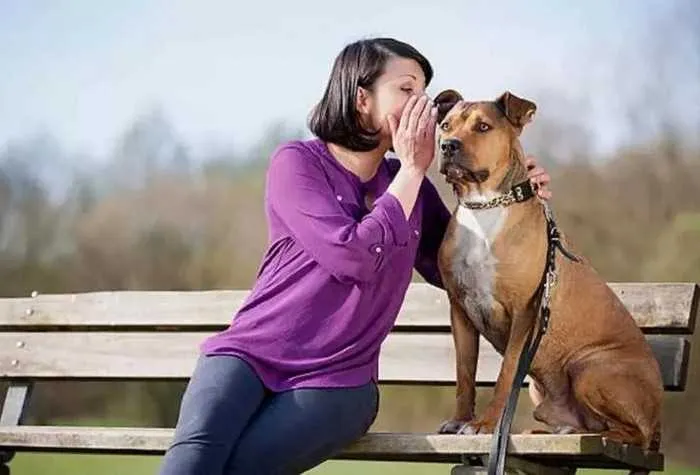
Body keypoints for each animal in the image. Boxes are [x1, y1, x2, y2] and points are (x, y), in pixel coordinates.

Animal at [434, 88, 664, 454]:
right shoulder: (460, 311)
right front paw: (459, 420)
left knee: (634, 433)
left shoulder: (523, 314)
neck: (485, 206)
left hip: (589, 369)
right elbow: (464, 373)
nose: (448, 145)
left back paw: (605, 438)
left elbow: (505, 373)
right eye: (445, 125)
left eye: (483, 127)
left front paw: (485, 425)